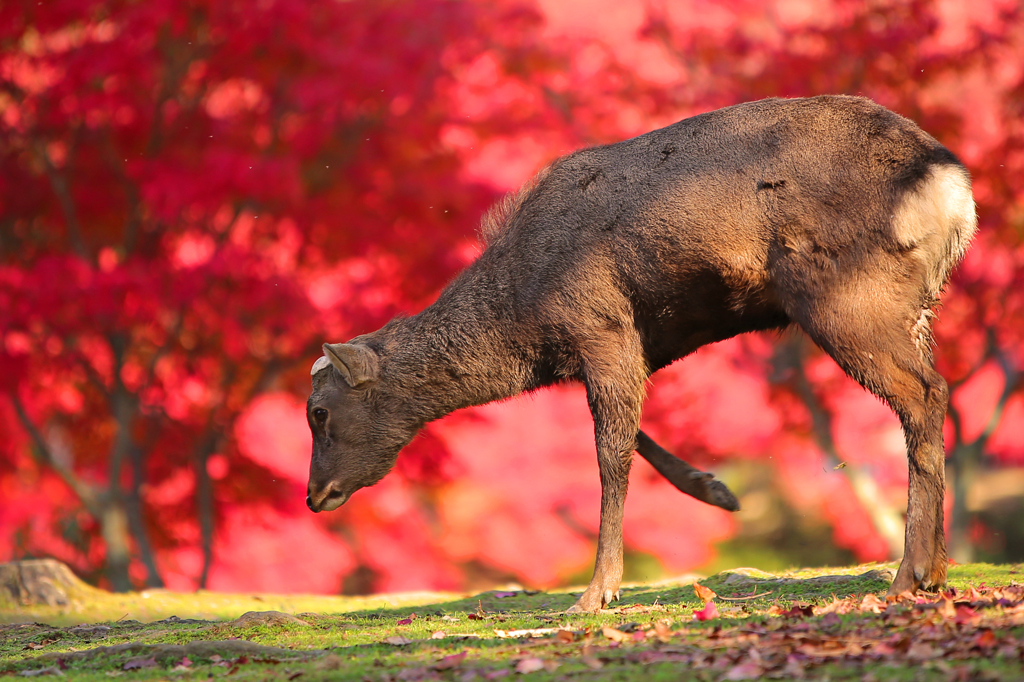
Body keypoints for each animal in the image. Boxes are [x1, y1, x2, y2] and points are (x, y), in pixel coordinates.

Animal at [303, 95, 974, 610]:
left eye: (318, 411)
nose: (315, 495)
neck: (524, 324)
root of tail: (950, 186)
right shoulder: (634, 342)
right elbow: (637, 439)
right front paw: (715, 490)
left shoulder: (600, 324)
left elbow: (610, 455)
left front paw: (596, 592)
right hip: (918, 304)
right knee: (935, 391)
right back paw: (936, 569)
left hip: (847, 298)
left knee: (923, 394)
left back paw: (910, 573)